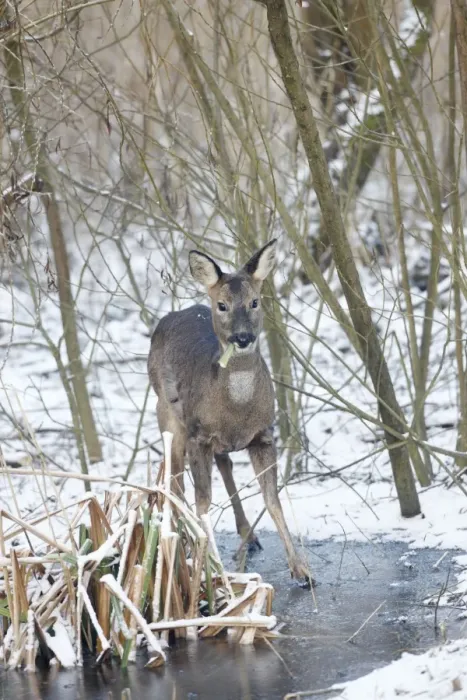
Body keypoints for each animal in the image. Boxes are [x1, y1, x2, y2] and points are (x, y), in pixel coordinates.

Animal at [148, 240, 309, 584]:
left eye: (254, 301)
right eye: (222, 305)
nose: (243, 338)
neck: (237, 411)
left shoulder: (263, 434)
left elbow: (272, 500)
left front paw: (302, 570)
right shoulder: (198, 435)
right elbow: (203, 502)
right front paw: (212, 568)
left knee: (224, 463)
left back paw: (249, 534)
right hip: (167, 414)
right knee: (175, 479)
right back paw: (181, 539)